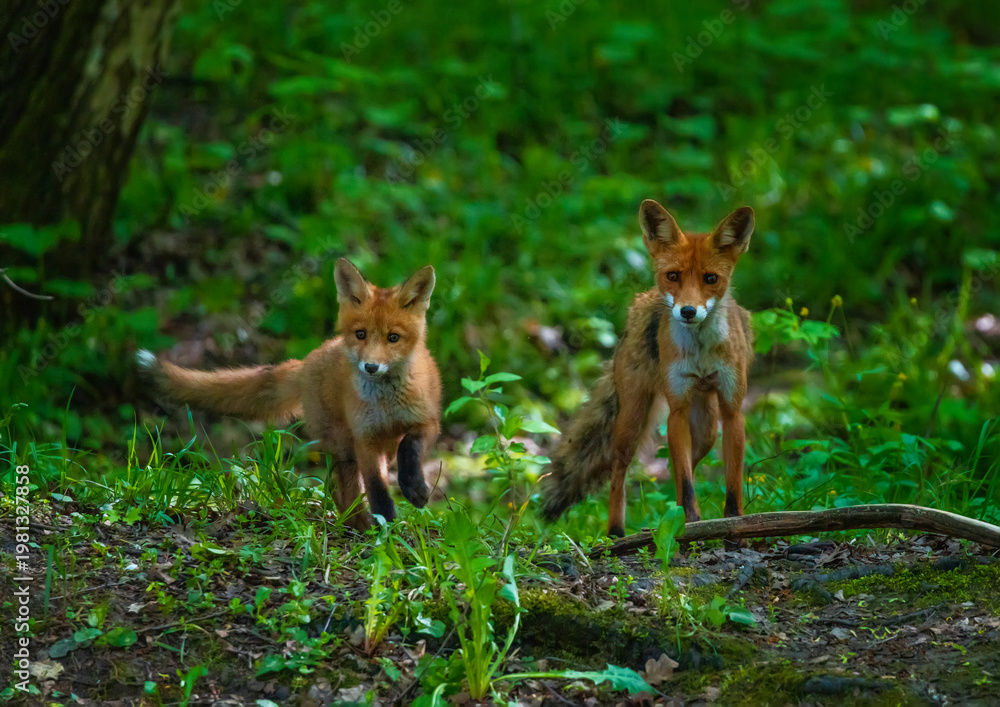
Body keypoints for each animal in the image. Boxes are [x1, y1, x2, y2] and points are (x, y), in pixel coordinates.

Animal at [137, 258, 442, 532]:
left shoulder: (426, 423)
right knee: (342, 491)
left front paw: (415, 489)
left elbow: (411, 447)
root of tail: (308, 360)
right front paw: (386, 525)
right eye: (360, 334)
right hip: (343, 446)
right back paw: (359, 524)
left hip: (369, 448)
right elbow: (377, 488)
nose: (370, 367)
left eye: (393, 338)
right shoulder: (365, 439)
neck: (387, 404)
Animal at [541, 200, 755, 537]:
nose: (688, 311)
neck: (701, 352)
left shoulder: (733, 411)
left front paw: (733, 523)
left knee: (683, 466)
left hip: (706, 429)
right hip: (632, 420)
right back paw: (616, 531)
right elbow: (687, 484)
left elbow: (729, 482)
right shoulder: (677, 411)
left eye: (711, 279)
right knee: (620, 471)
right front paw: (690, 524)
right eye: (673, 275)